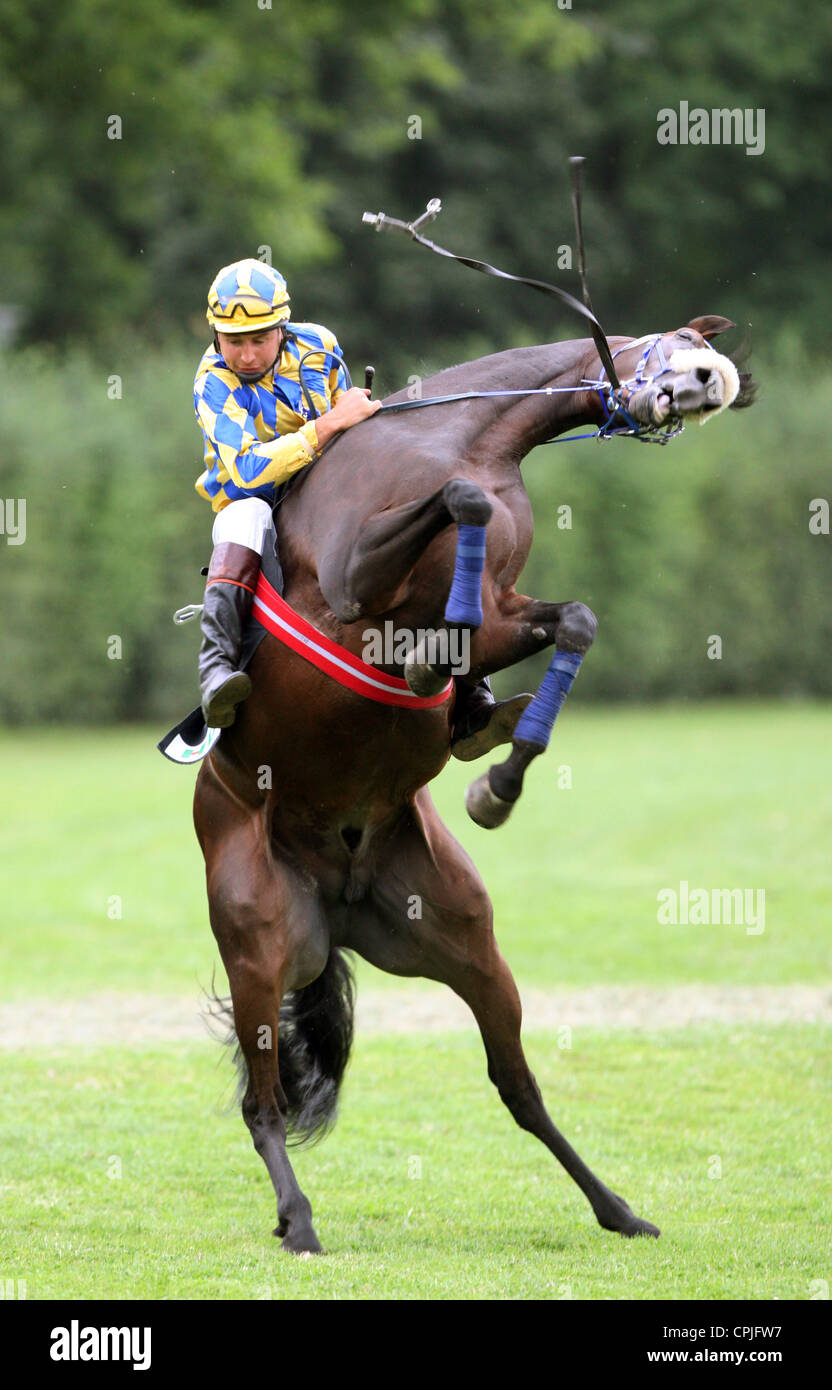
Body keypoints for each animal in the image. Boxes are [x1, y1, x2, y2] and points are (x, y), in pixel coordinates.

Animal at [195, 315, 755, 1262]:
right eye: (677, 341)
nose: (714, 380)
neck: (467, 433)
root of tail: (338, 894)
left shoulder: (506, 610)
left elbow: (572, 619)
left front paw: (497, 766)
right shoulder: (354, 574)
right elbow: (462, 504)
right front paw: (438, 657)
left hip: (465, 939)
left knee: (517, 1086)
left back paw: (618, 1208)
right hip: (257, 944)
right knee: (261, 1102)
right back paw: (298, 1219)